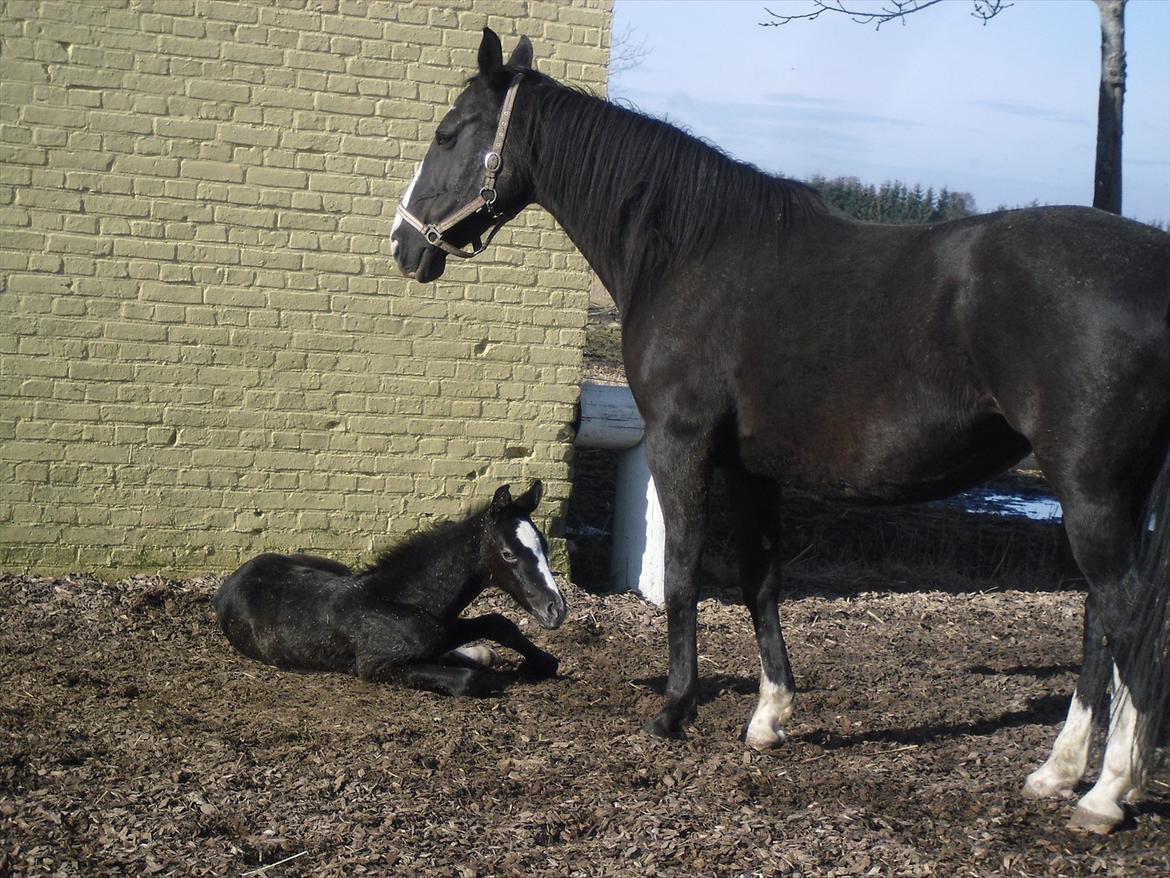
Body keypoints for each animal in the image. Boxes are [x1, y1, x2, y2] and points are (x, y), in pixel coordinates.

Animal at [219, 484, 570, 697]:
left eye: (544, 545)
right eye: (509, 553)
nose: (556, 609)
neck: (399, 599)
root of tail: (227, 585)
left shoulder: (443, 626)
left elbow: (497, 622)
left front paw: (542, 661)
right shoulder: (377, 667)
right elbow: (468, 678)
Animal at [393, 29, 1170, 838]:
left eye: (449, 133)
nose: (403, 245)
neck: (689, 253)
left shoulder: (682, 443)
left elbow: (682, 572)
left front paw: (673, 712)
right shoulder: (752, 467)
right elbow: (759, 577)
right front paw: (769, 718)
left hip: (1091, 492)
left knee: (1128, 620)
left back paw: (1107, 792)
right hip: (1109, 496)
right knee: (1100, 619)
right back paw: (1058, 771)